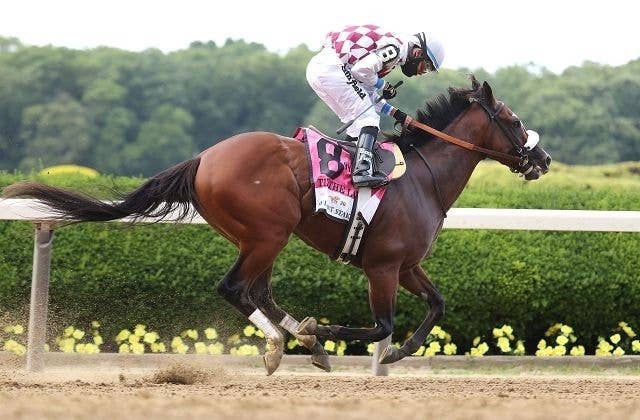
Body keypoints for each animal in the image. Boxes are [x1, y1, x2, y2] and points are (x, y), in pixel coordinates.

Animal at [3, 75, 551, 375]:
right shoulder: (382, 267)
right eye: (513, 120)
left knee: (258, 292)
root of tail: (204, 158)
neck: (422, 179)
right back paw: (285, 344)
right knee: (235, 288)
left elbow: (436, 305)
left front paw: (395, 355)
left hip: (256, 237)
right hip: (270, 232)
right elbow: (381, 324)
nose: (542, 158)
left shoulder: (406, 264)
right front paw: (324, 328)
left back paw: (300, 343)